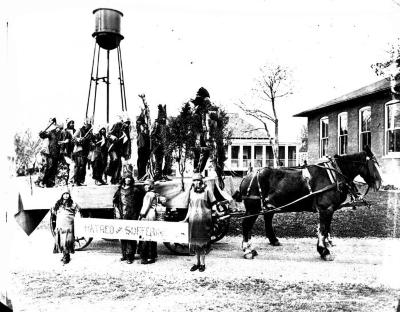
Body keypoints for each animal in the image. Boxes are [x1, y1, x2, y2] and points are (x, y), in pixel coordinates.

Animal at [234, 146, 382, 260]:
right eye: (373, 164)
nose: (380, 183)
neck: (334, 175)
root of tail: (247, 176)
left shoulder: (328, 210)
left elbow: (324, 229)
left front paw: (325, 246)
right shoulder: (326, 209)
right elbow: (323, 230)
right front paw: (324, 251)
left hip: (268, 206)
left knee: (265, 220)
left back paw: (269, 242)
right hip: (253, 208)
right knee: (246, 225)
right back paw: (248, 250)